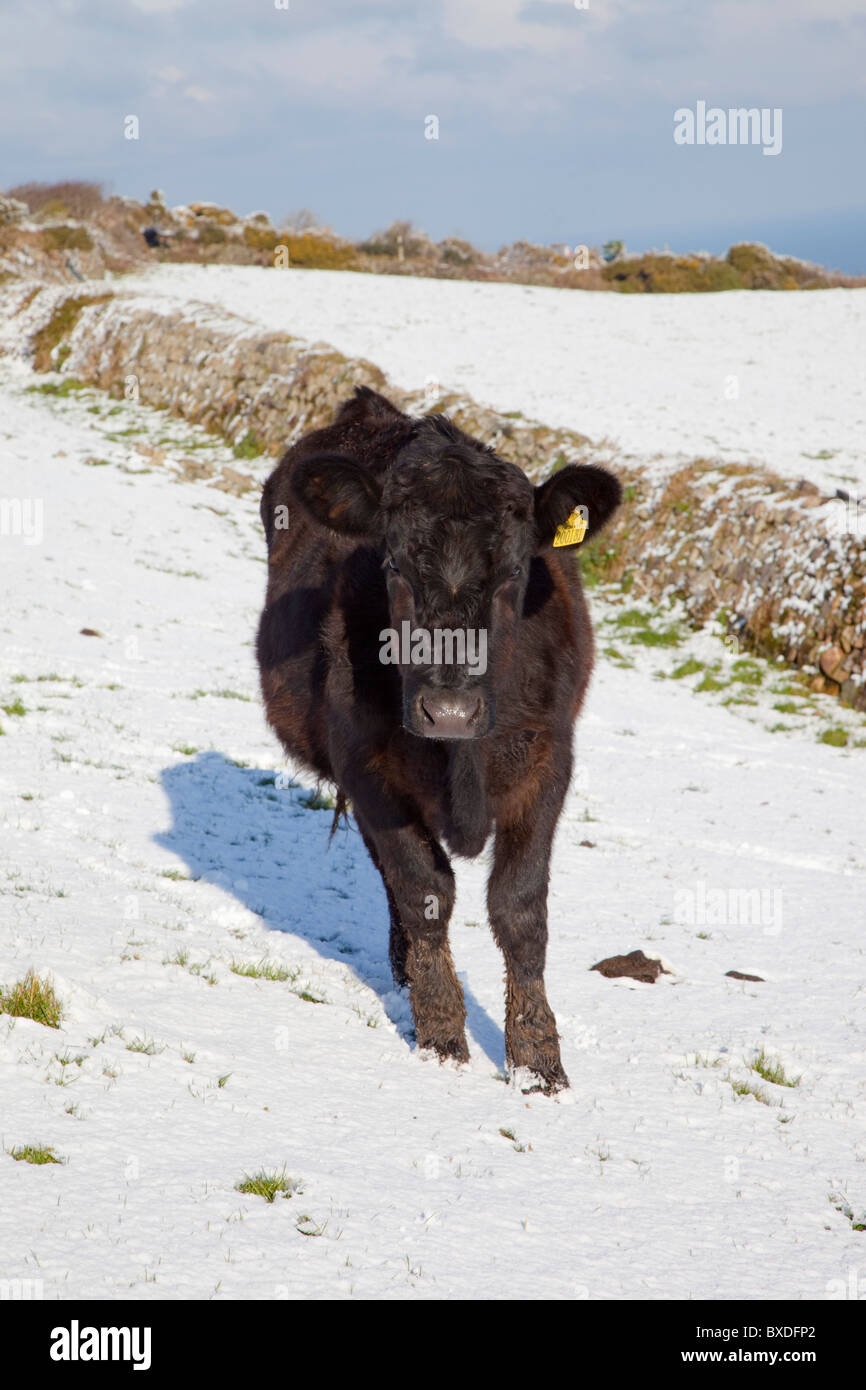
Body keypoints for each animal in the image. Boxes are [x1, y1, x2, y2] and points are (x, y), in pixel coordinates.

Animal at [256, 386, 621, 1093]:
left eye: (515, 569)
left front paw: (538, 1062)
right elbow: (424, 890)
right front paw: (443, 1038)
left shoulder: (549, 763)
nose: (448, 709)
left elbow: (519, 909)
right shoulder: (366, 767)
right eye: (393, 564)